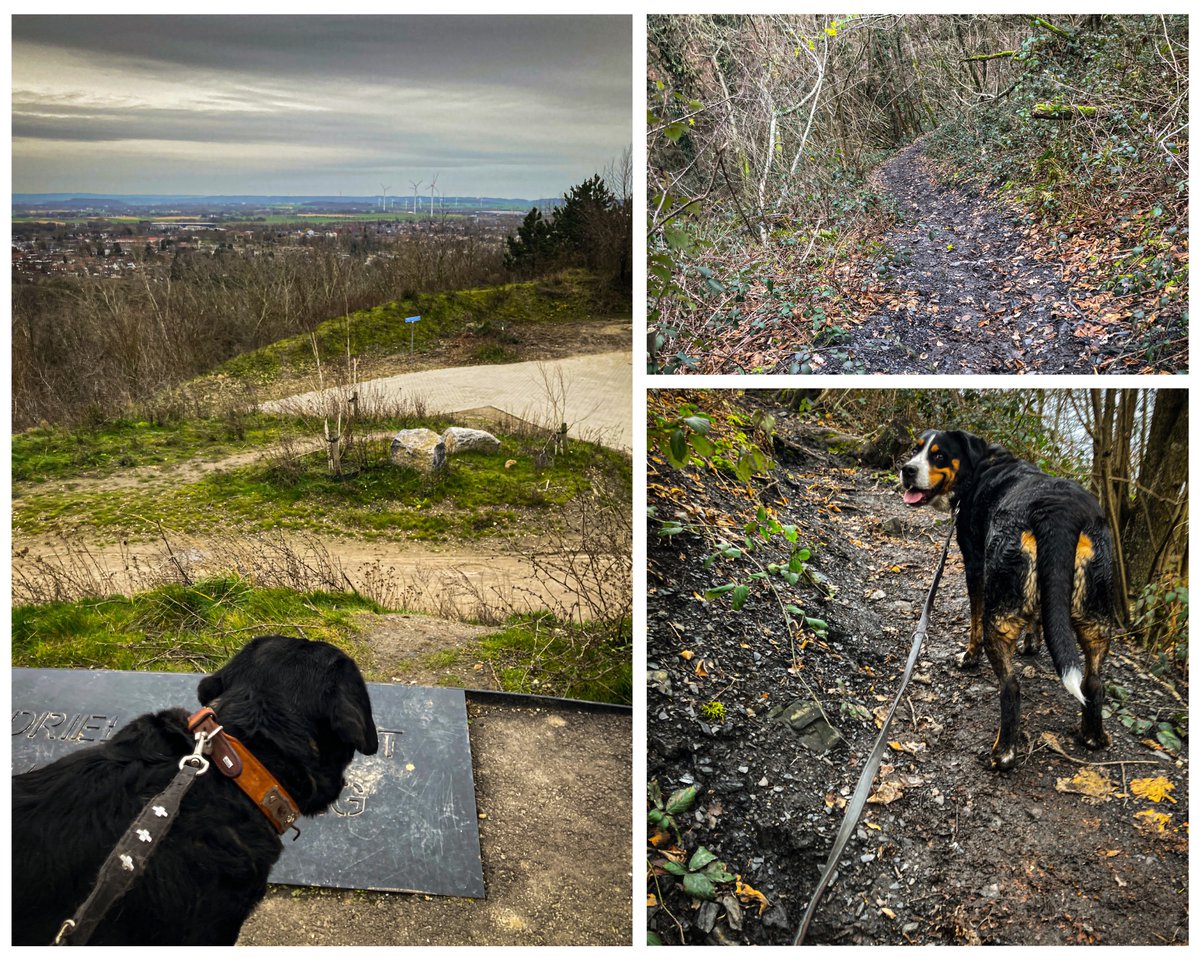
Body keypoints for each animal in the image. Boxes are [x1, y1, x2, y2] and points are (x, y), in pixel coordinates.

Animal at [902, 432, 1118, 768]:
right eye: (916, 448)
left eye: (938, 456)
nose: (907, 469)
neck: (981, 465)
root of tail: (1059, 513)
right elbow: (1038, 615)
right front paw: (1032, 643)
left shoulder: (976, 565)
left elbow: (974, 621)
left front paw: (969, 656)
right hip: (1095, 615)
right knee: (1093, 681)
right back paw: (1092, 736)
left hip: (1001, 611)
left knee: (1010, 686)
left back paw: (1004, 751)